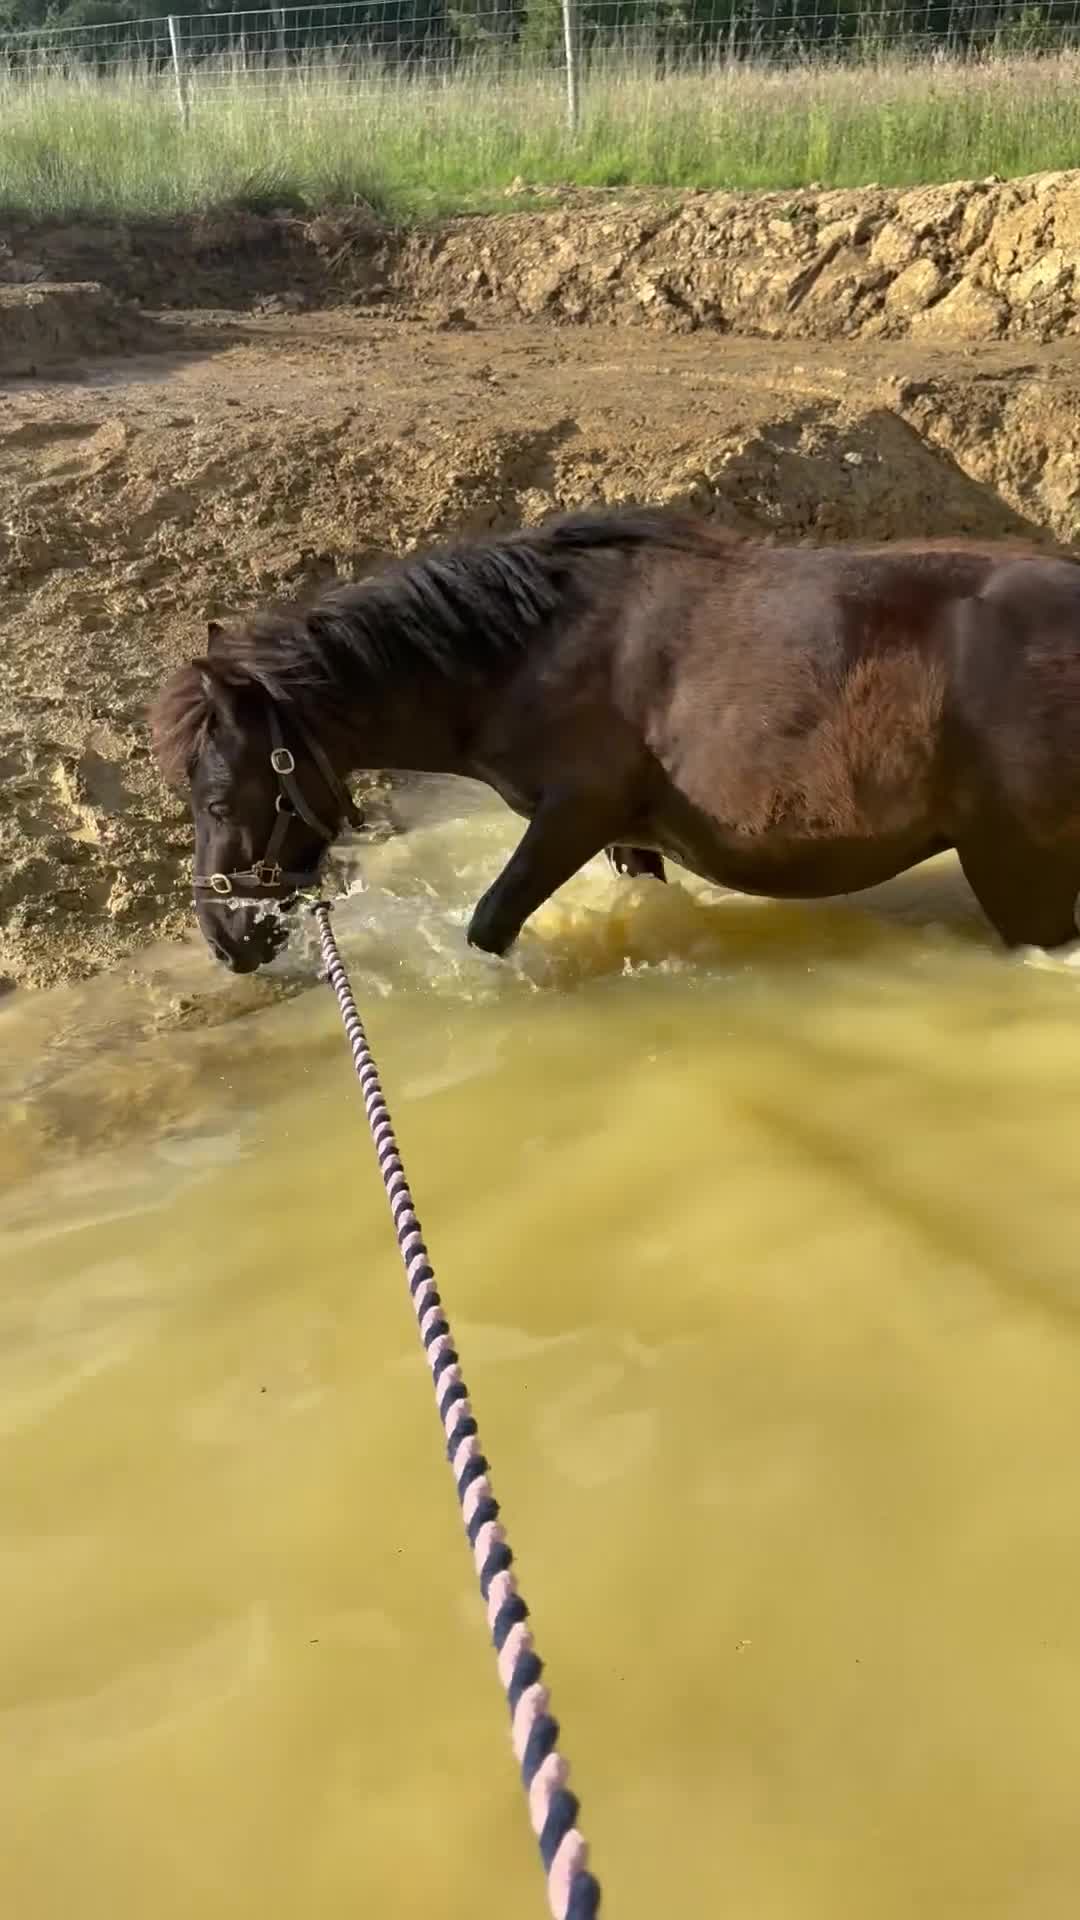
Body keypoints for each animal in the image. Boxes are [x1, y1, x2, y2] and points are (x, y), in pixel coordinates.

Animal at [151, 506, 1080, 975]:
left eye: (216, 799)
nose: (223, 939)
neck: (531, 649)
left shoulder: (574, 815)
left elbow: (490, 924)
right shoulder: (630, 837)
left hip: (1018, 873)